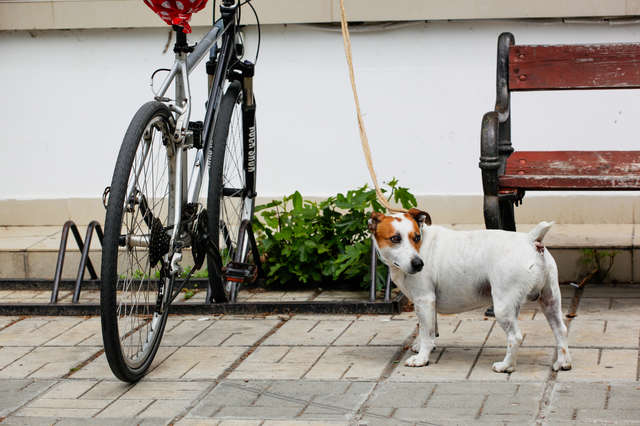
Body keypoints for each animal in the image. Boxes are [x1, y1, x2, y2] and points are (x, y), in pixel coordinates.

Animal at [368, 209, 572, 372]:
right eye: (395, 239)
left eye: (416, 237)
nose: (418, 264)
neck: (423, 245)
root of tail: (530, 239)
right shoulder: (429, 303)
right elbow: (430, 329)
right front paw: (423, 346)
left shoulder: (424, 300)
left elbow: (426, 332)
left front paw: (422, 358)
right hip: (550, 300)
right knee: (560, 330)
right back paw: (563, 363)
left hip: (503, 307)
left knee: (515, 337)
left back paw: (506, 366)